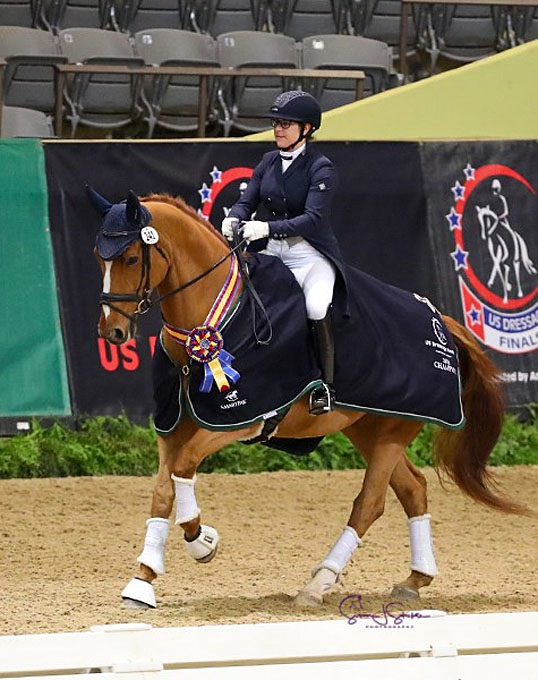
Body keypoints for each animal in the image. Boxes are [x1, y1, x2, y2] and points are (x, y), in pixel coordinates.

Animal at [92, 190, 524, 612]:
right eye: (100, 257)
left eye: (132, 258)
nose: (112, 332)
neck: (211, 321)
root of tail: (441, 322)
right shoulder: (172, 426)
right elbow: (162, 492)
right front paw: (142, 581)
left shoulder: (245, 419)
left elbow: (184, 469)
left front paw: (202, 541)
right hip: (369, 427)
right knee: (413, 489)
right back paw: (414, 580)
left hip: (391, 432)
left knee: (370, 503)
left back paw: (317, 585)